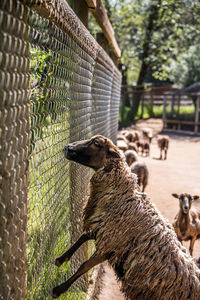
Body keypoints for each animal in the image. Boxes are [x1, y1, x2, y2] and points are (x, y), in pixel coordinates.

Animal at [52, 135, 200, 298]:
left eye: (96, 143)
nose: (67, 148)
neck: (121, 195)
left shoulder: (110, 245)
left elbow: (84, 266)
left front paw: (59, 289)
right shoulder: (105, 230)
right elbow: (83, 236)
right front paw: (61, 259)